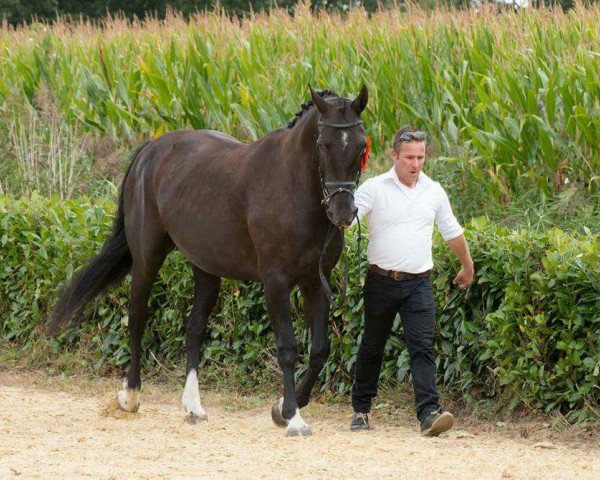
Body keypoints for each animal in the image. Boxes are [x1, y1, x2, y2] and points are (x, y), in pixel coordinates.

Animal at [49, 84, 370, 436]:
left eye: (360, 146)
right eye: (323, 145)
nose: (342, 213)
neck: (293, 188)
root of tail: (151, 150)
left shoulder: (315, 281)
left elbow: (319, 350)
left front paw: (280, 409)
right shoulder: (276, 282)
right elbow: (287, 348)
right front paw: (293, 417)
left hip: (205, 268)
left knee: (195, 329)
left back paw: (192, 405)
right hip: (147, 259)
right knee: (137, 318)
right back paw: (130, 396)